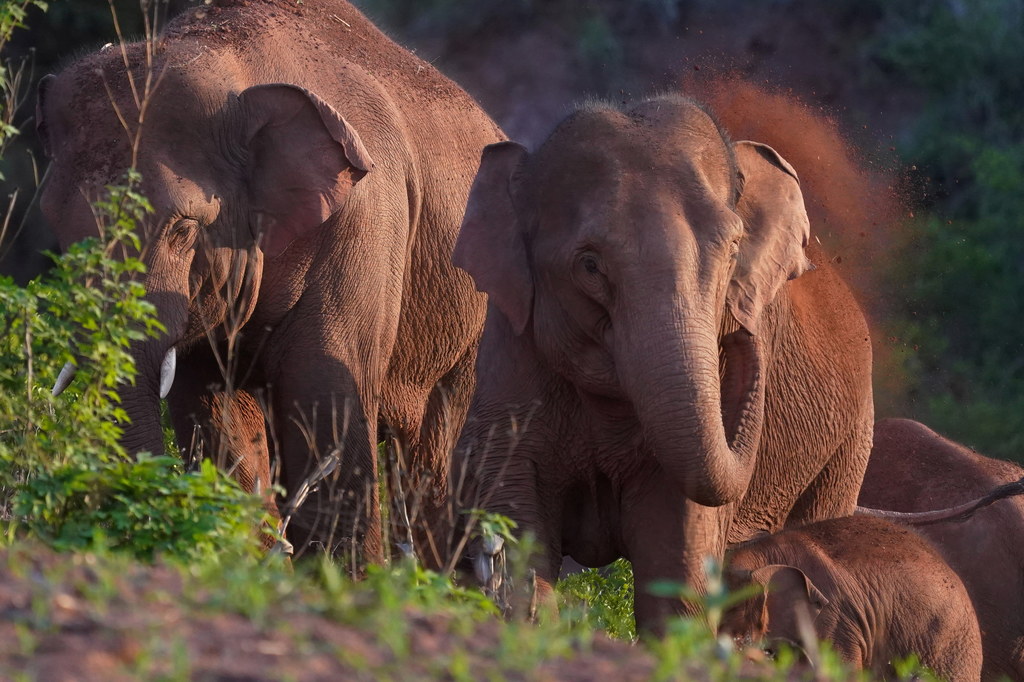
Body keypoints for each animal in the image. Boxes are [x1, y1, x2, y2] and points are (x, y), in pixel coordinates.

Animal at [37, 0, 503, 561]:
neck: (231, 61)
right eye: (56, 227)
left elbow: (324, 402)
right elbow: (213, 412)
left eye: (182, 228)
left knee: (440, 454)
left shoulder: (363, 223)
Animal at [452, 94, 876, 626]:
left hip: (849, 445)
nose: (743, 328)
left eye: (733, 249)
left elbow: (677, 562)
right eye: (589, 265)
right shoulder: (510, 359)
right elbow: (518, 538)